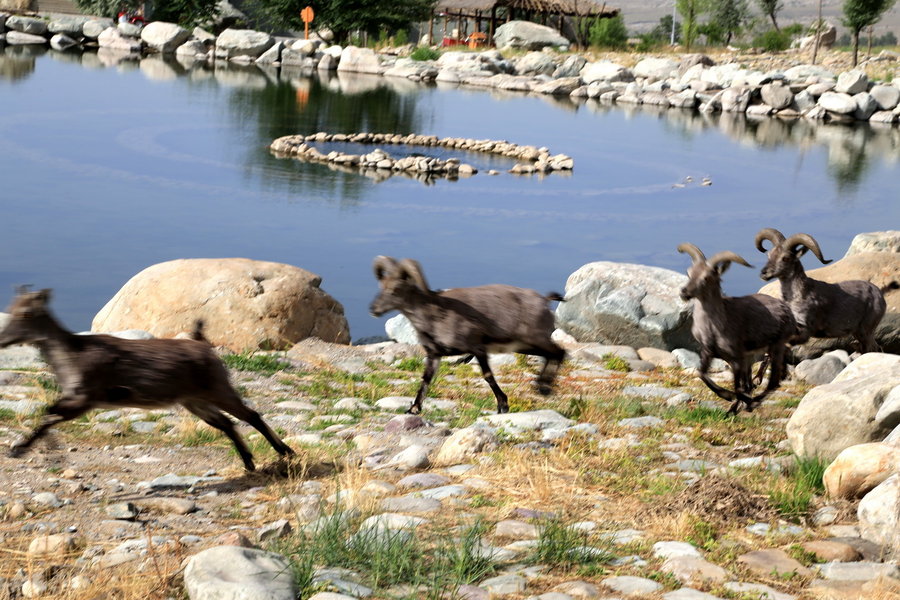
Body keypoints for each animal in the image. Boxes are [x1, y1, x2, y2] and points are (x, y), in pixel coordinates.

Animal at [366, 255, 564, 414]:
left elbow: (487, 375)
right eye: (381, 285)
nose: (373, 309)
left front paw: (502, 406)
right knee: (552, 355)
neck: (434, 316)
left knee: (559, 352)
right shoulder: (434, 354)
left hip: (536, 338)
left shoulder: (477, 347)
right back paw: (542, 386)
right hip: (524, 346)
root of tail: (545, 301)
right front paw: (413, 409)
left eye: (396, 289)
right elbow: (426, 379)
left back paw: (544, 388)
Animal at [680, 241, 800, 414]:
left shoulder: (736, 356)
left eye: (706, 277)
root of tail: (788, 312)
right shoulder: (708, 351)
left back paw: (752, 402)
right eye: (689, 273)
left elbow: (738, 387)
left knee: (773, 382)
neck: (714, 327)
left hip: (776, 345)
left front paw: (735, 399)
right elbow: (702, 373)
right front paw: (731, 401)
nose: (684, 292)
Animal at [756, 229, 896, 352]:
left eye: (785, 258)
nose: (764, 273)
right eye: (769, 254)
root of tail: (879, 294)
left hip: (865, 329)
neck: (796, 296)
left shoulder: (805, 328)